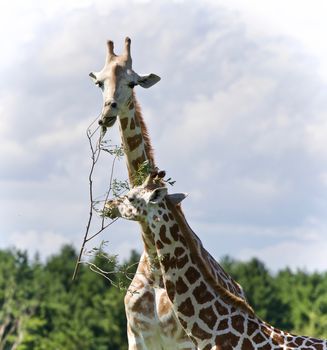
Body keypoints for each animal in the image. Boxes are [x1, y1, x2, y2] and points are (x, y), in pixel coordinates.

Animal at [89, 38, 246, 350]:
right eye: (100, 82)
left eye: (133, 82)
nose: (108, 114)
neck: (154, 264)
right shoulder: (136, 337)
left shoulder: (186, 340)